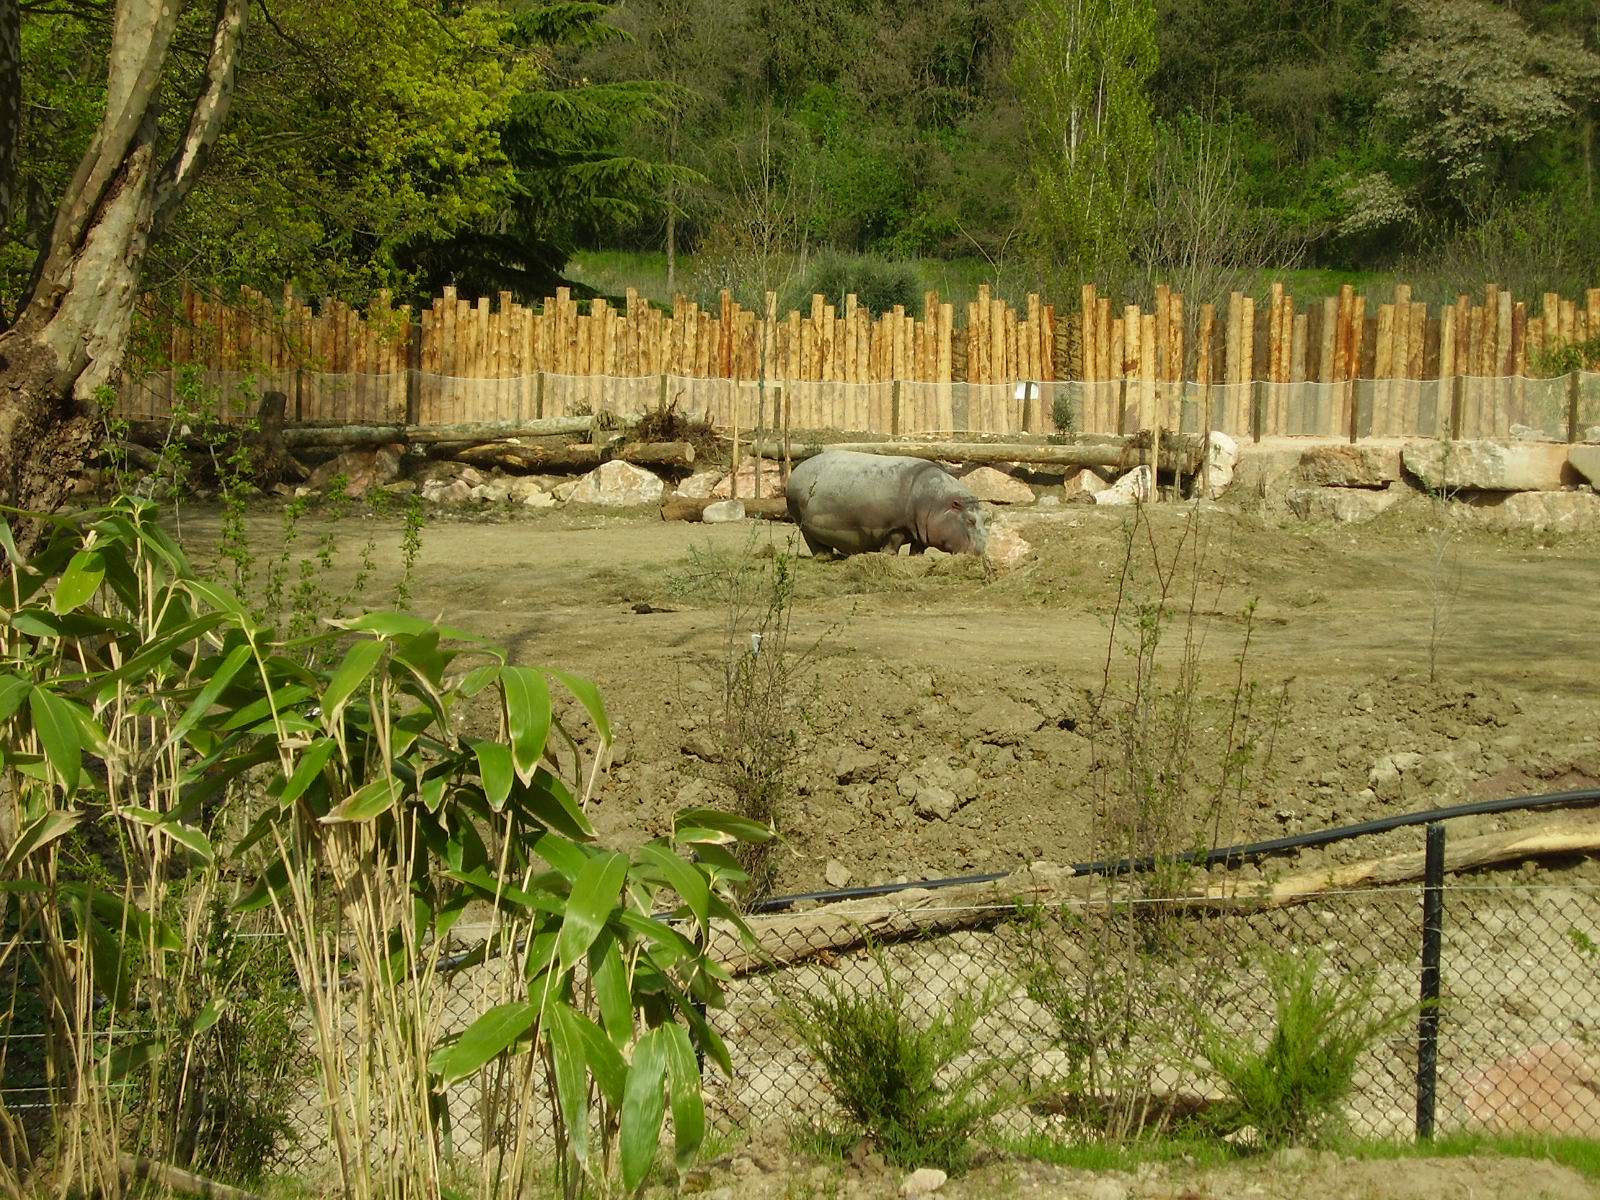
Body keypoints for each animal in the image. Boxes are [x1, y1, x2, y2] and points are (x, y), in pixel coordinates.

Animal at [784, 450, 987, 558]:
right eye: (969, 520)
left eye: (986, 517)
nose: (981, 551)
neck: (936, 502)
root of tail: (798, 469)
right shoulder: (895, 527)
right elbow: (892, 544)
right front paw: (888, 556)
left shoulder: (921, 533)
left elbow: (917, 549)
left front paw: (916, 558)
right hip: (803, 524)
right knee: (815, 544)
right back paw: (824, 557)